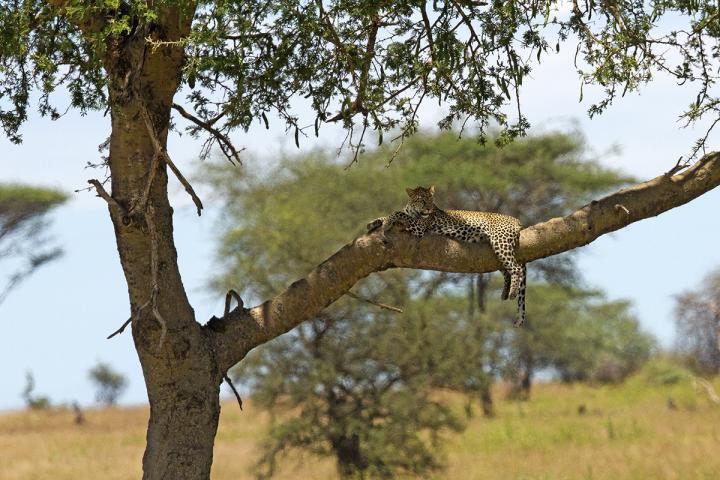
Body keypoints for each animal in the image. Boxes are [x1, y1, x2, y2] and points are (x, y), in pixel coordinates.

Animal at [368, 186, 524, 328]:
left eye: (431, 200)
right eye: (422, 200)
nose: (429, 209)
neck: (413, 209)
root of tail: (517, 219)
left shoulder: (419, 227)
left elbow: (398, 213)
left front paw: (387, 221)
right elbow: (391, 215)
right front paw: (374, 222)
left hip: (500, 240)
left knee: (516, 268)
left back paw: (512, 292)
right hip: (494, 251)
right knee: (507, 270)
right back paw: (504, 293)